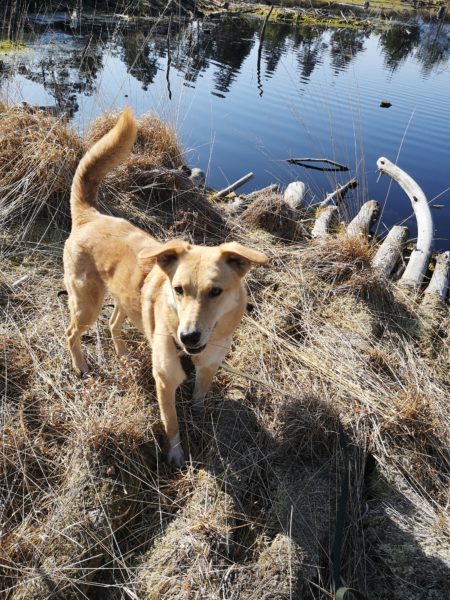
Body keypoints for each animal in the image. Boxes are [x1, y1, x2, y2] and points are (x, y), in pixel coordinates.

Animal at [63, 108, 268, 466]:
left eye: (216, 292)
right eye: (179, 289)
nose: (188, 337)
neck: (191, 353)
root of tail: (91, 216)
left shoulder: (209, 368)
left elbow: (200, 400)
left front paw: (200, 421)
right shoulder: (165, 383)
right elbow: (171, 423)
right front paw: (175, 455)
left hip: (124, 299)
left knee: (114, 324)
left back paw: (123, 355)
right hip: (86, 303)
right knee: (72, 332)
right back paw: (81, 366)